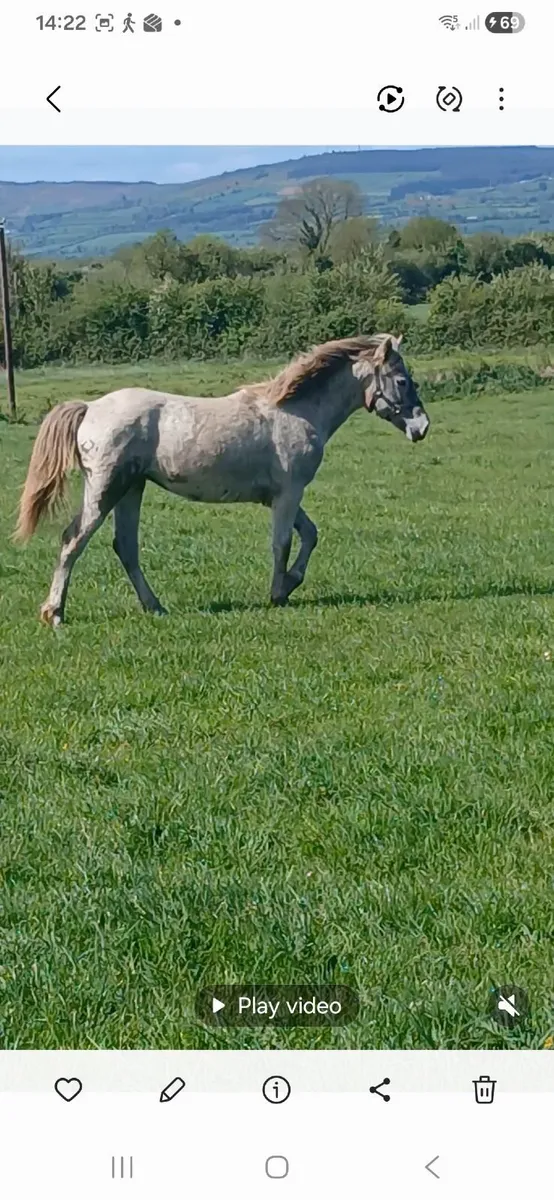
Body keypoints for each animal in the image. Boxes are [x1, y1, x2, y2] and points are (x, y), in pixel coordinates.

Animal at [15, 333, 429, 625]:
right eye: (402, 380)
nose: (422, 427)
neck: (296, 412)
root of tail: (90, 408)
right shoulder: (289, 493)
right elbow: (282, 543)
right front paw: (278, 592)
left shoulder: (281, 495)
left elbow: (310, 534)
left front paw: (290, 583)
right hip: (106, 489)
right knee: (73, 540)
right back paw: (55, 613)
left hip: (132, 488)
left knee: (126, 547)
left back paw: (155, 607)